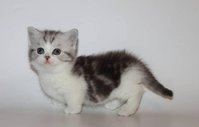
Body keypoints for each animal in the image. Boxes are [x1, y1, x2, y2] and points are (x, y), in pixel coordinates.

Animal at [27, 26, 173, 116]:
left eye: (56, 51)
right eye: (40, 50)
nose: (47, 57)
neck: (52, 74)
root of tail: (135, 61)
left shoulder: (77, 89)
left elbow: (73, 101)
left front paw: (72, 110)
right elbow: (55, 97)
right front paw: (55, 102)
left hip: (125, 83)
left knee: (138, 92)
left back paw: (127, 110)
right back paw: (113, 104)